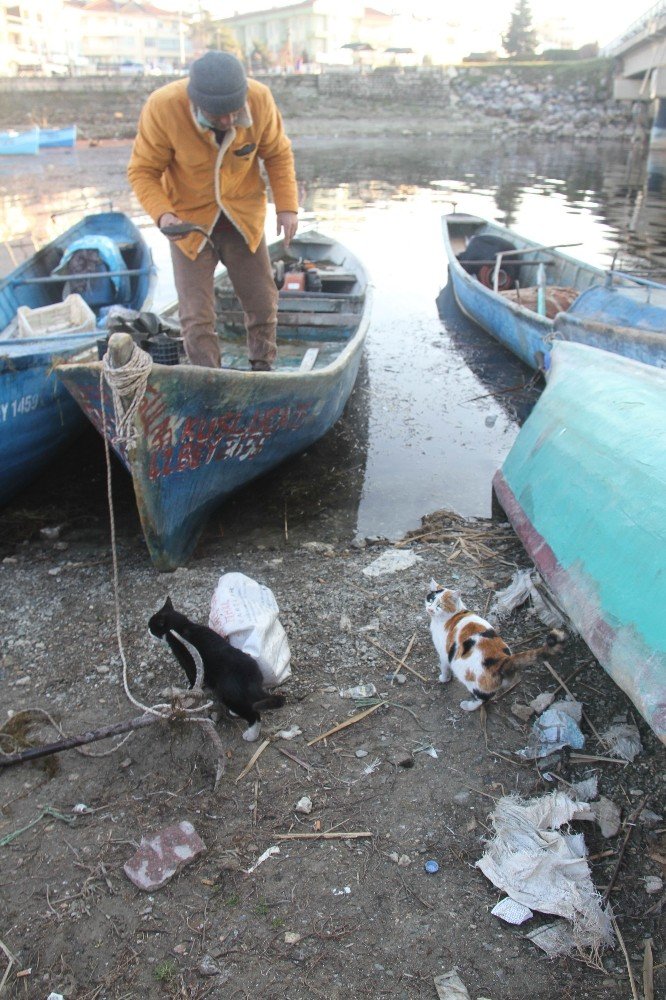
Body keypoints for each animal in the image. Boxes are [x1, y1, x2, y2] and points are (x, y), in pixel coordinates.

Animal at [149, 592, 284, 744]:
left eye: (152, 625)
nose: (148, 628)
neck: (183, 627)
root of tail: (249, 677)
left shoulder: (188, 663)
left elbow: (192, 677)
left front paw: (191, 688)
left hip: (227, 693)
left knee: (253, 714)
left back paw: (251, 734)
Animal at [426, 580, 560, 712]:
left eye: (440, 605)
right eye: (431, 600)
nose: (430, 609)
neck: (455, 614)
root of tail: (503, 660)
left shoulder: (444, 653)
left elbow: (444, 666)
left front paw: (444, 678)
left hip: (471, 679)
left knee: (482, 699)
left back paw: (467, 706)